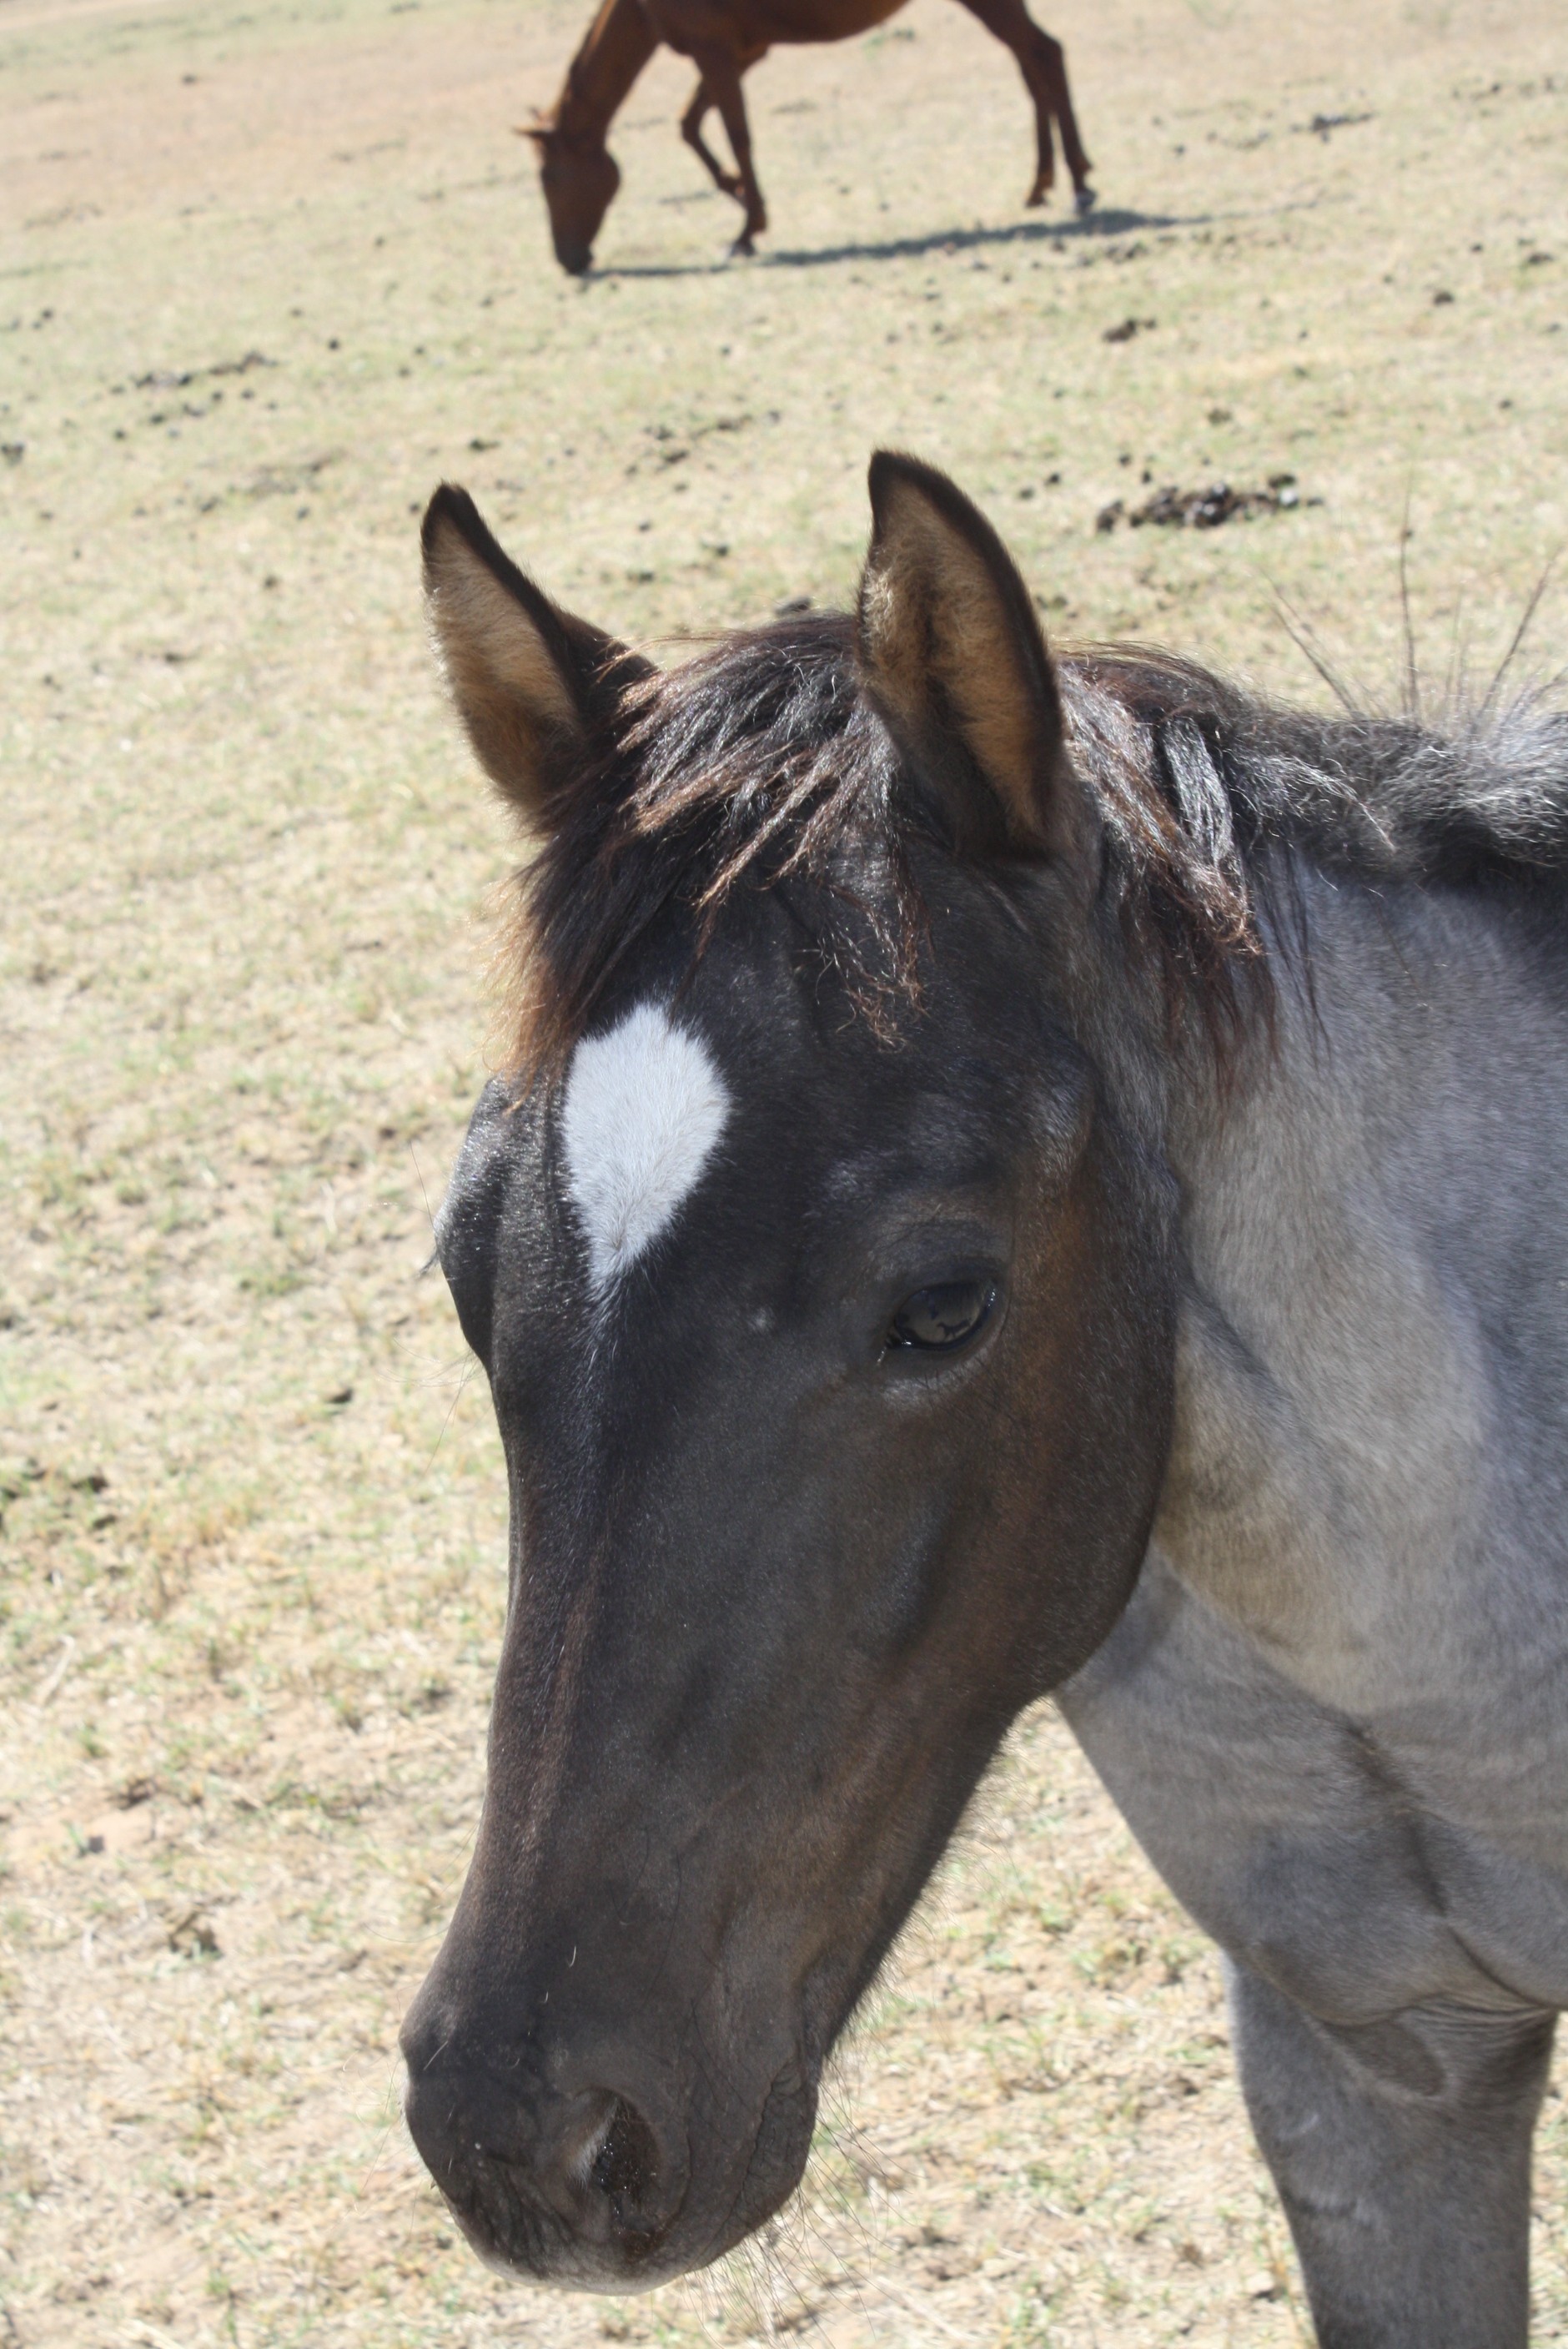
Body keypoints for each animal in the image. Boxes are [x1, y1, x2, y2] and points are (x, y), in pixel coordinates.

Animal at [520, 0, 1098, 272]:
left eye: (549, 179)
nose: (569, 261)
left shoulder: (715, 52)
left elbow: (737, 134)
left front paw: (747, 229)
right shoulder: (745, 53)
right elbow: (691, 126)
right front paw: (738, 195)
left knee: (1044, 55)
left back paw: (1079, 186)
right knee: (1033, 66)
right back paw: (1042, 184)